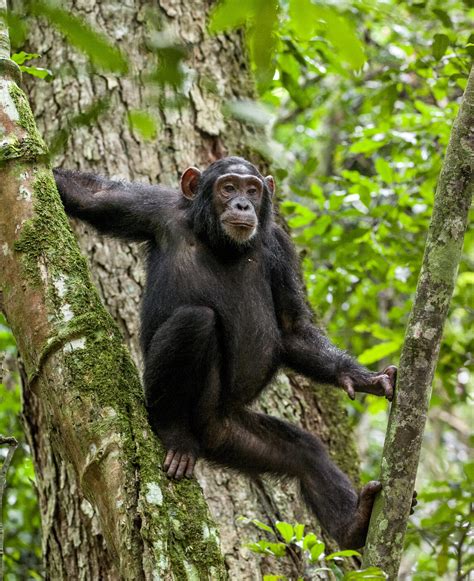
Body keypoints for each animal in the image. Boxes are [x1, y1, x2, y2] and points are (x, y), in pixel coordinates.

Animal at [53, 156, 398, 548]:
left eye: (253, 189)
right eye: (228, 187)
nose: (243, 205)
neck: (221, 243)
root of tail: (208, 436)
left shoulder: (280, 247)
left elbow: (292, 329)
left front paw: (361, 377)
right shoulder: (153, 208)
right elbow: (90, 195)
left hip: (233, 435)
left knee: (306, 455)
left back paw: (353, 523)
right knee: (195, 320)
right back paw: (173, 433)